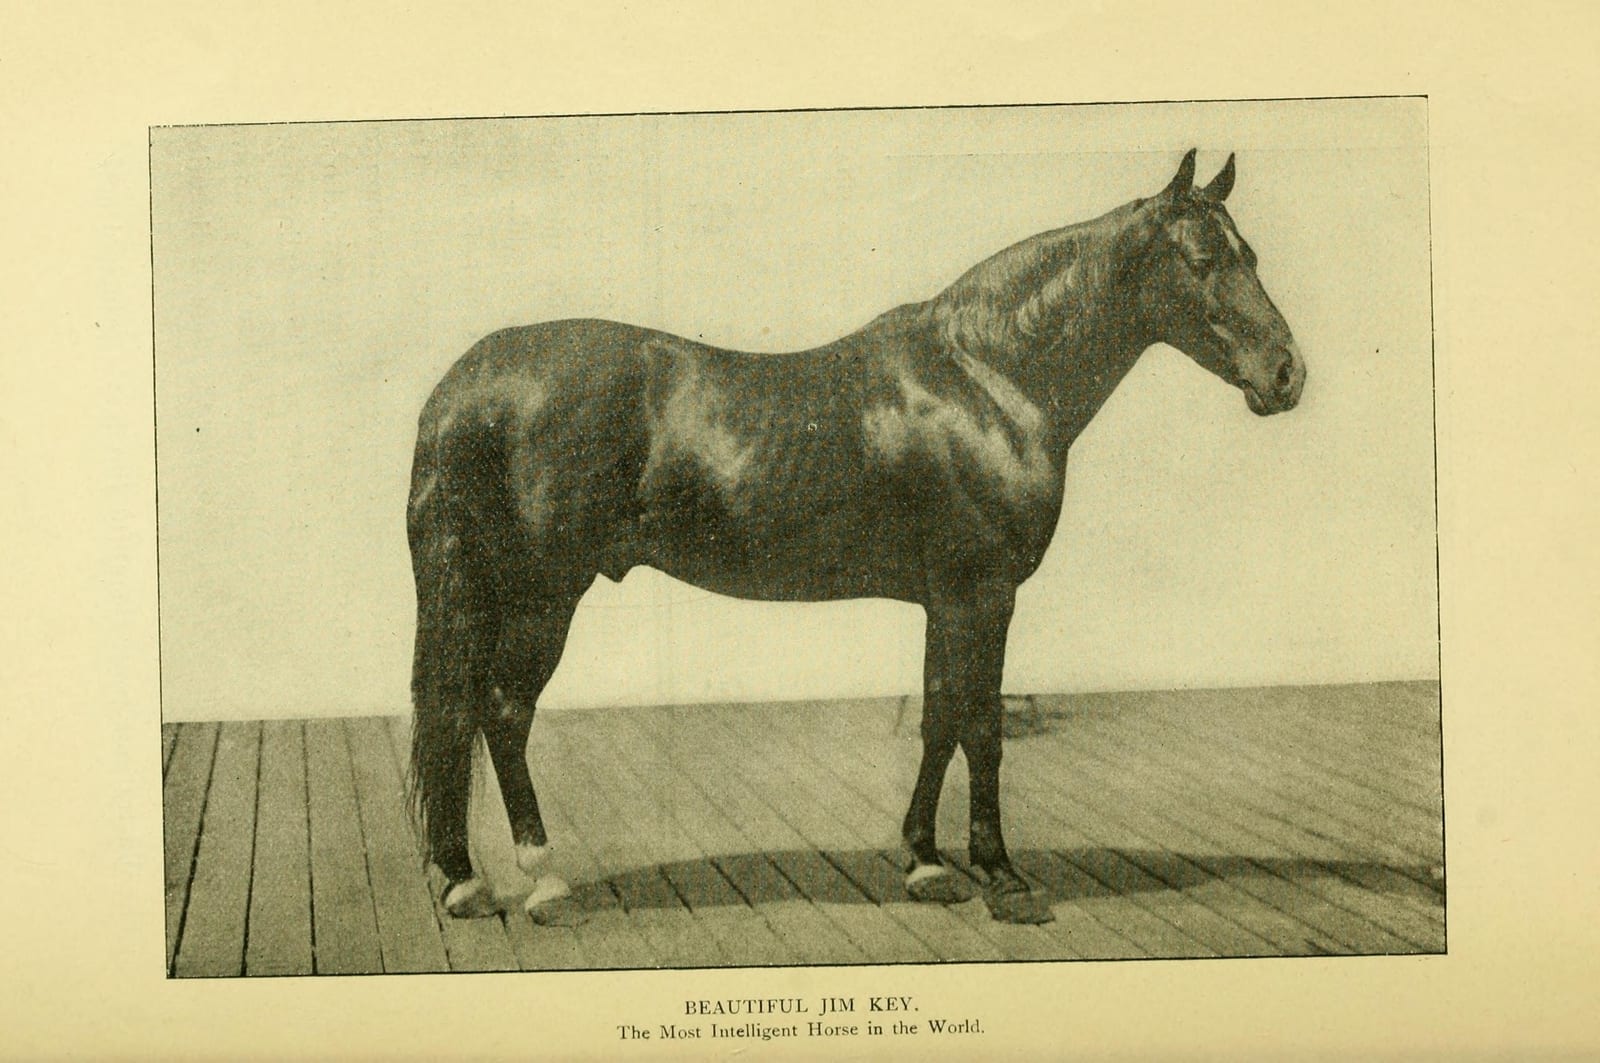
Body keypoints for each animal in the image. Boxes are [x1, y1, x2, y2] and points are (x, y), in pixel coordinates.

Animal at [406, 149, 1306, 928]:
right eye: (1200, 258)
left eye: (1250, 252)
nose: (1286, 373)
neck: (987, 379)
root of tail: (463, 384)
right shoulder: (982, 593)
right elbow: (983, 726)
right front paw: (1003, 876)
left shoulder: (946, 599)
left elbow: (940, 717)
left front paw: (928, 863)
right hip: (543, 592)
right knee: (501, 710)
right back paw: (542, 879)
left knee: (460, 710)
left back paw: (462, 878)